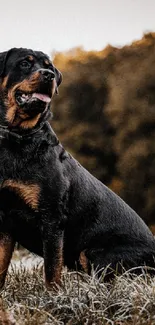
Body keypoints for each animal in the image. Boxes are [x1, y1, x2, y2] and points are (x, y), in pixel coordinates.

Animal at [0, 46, 155, 288]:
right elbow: (1, 265)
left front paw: (53, 297)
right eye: (25, 63)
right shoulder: (5, 220)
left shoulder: (52, 218)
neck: (20, 137)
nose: (49, 75)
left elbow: (51, 270)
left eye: (50, 67)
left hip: (94, 253)